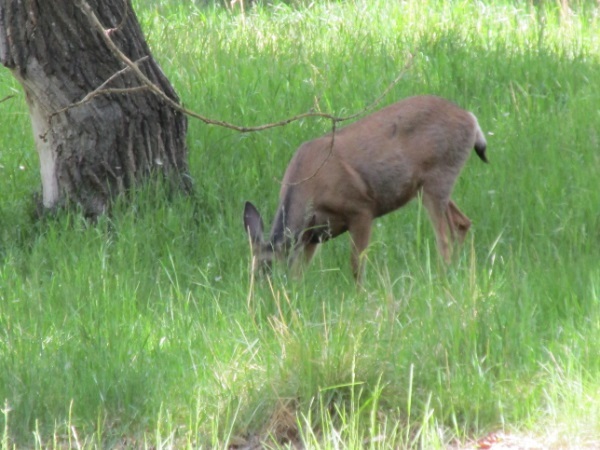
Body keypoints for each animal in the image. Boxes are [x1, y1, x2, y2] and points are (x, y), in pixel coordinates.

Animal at [244, 94, 488, 282]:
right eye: (252, 272)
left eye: (269, 269)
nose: (260, 299)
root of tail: (472, 120)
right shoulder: (313, 235)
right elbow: (299, 272)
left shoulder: (361, 208)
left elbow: (356, 264)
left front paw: (359, 295)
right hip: (428, 185)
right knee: (462, 223)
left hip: (438, 177)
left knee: (445, 239)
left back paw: (443, 277)